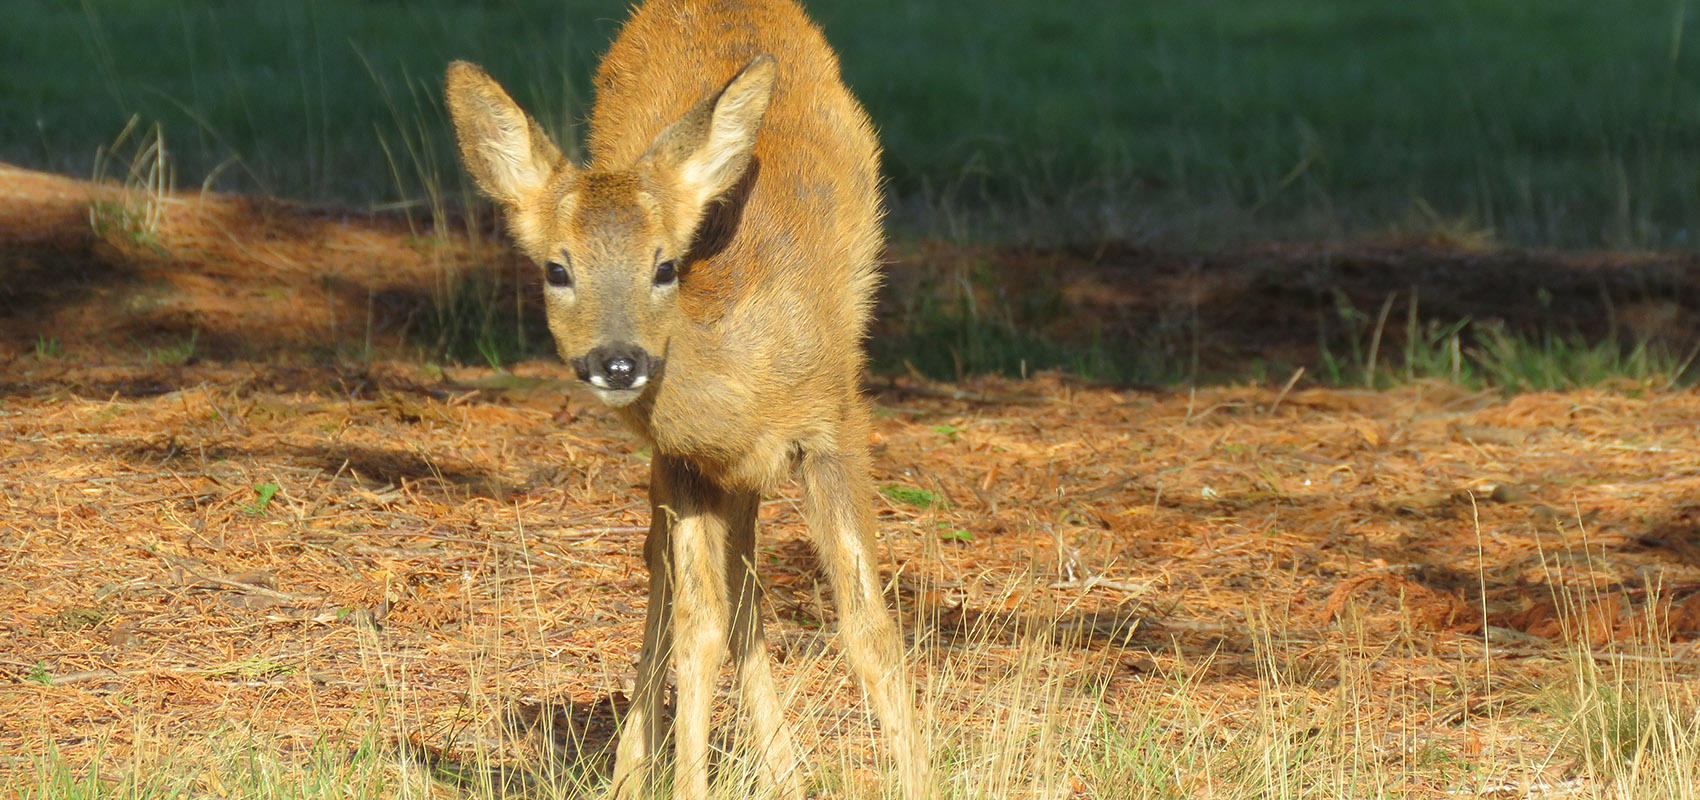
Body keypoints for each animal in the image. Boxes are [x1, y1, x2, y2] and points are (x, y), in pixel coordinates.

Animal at [442, 1, 931, 800]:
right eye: (556, 268)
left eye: (665, 265)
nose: (619, 361)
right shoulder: (686, 460)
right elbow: (696, 626)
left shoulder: (836, 423)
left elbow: (866, 626)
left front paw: (915, 773)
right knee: (676, 579)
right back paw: (643, 768)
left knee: (742, 587)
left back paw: (779, 770)